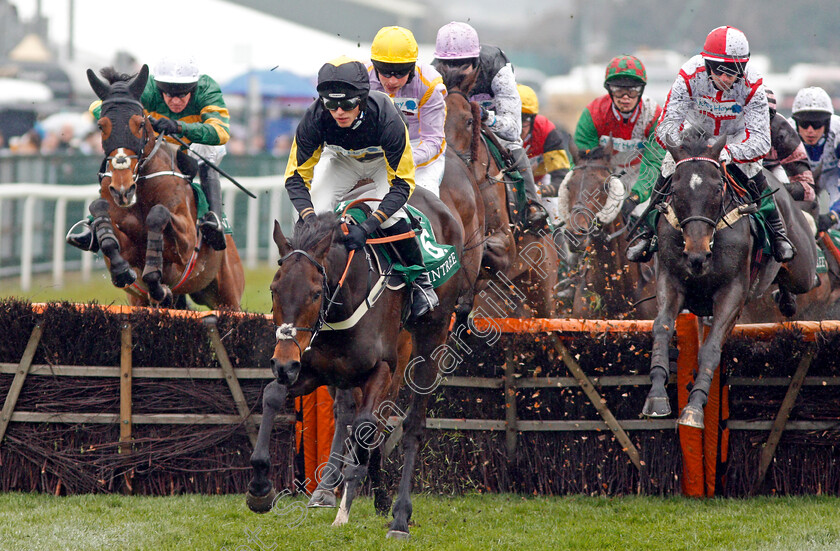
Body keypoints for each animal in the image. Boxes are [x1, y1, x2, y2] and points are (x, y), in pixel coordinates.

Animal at [88, 64, 243, 310]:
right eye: (101, 126)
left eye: (140, 124)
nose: (123, 189)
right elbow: (101, 215)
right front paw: (122, 270)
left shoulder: (187, 243)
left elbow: (159, 214)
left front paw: (155, 277)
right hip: (140, 300)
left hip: (227, 295)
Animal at [248, 190, 466, 540]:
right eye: (273, 289)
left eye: (314, 293)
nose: (282, 363)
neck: (343, 303)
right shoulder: (313, 369)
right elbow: (272, 395)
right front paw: (259, 488)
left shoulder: (381, 369)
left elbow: (365, 426)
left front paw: (345, 508)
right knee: (357, 416)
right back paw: (370, 496)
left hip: (431, 336)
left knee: (411, 425)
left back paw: (399, 517)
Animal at [644, 132, 812, 430]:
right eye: (676, 191)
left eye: (716, 189)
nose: (697, 254)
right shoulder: (669, 280)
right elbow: (662, 327)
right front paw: (657, 396)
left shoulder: (731, 293)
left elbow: (711, 349)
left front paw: (694, 408)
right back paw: (785, 299)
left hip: (803, 268)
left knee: (799, 279)